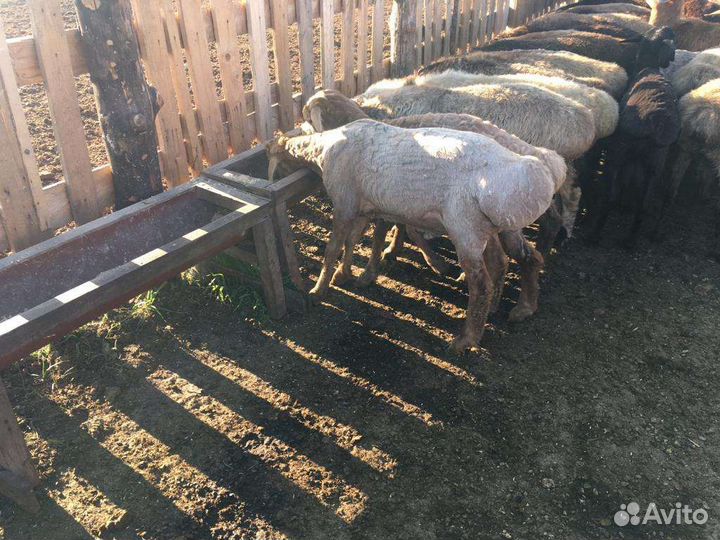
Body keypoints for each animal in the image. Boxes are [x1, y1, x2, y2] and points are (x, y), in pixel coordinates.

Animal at [266, 120, 564, 352]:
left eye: (273, 161)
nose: (271, 182)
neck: (322, 150)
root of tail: (534, 172)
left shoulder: (344, 202)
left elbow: (332, 248)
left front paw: (318, 289)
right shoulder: (362, 207)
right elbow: (351, 242)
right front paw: (345, 274)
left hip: (464, 225)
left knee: (482, 285)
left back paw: (466, 340)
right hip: (489, 225)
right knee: (520, 260)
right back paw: (521, 308)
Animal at [586, 68, 681, 246]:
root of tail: (654, 123)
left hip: (616, 157)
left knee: (610, 197)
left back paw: (594, 235)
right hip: (655, 164)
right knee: (645, 203)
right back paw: (632, 239)